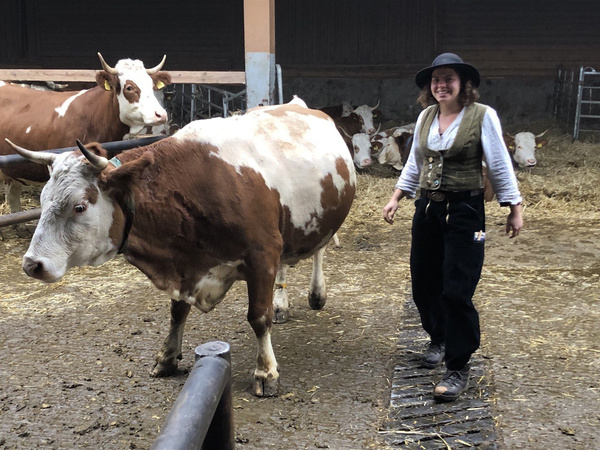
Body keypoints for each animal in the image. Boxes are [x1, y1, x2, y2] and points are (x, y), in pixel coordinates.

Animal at [6, 97, 356, 397]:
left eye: (79, 206)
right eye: (43, 200)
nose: (32, 264)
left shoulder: (262, 254)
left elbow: (258, 317)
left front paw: (266, 372)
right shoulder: (185, 262)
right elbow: (177, 311)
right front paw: (167, 356)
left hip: (319, 220)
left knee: (318, 252)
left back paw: (316, 293)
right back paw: (282, 302)